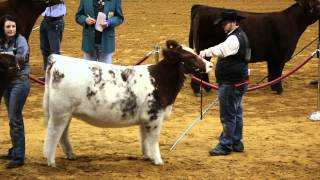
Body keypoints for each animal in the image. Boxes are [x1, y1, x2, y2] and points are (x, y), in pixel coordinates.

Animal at [189, 0, 320, 94]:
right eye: (318, 2)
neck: (291, 22)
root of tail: (200, 7)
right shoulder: (279, 56)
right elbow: (277, 73)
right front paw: (279, 89)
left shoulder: (272, 58)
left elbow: (272, 74)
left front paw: (273, 87)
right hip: (204, 46)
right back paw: (199, 90)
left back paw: (204, 88)